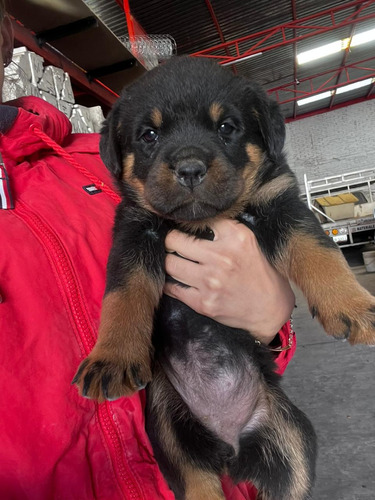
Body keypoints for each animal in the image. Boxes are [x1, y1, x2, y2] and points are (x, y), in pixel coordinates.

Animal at [72, 56, 375, 500]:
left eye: (226, 127)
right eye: (148, 135)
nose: (189, 169)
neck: (202, 222)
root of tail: (230, 449)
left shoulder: (279, 202)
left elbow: (320, 252)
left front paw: (354, 306)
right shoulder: (134, 231)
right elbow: (122, 297)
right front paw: (112, 357)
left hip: (290, 436)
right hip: (169, 430)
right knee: (198, 480)